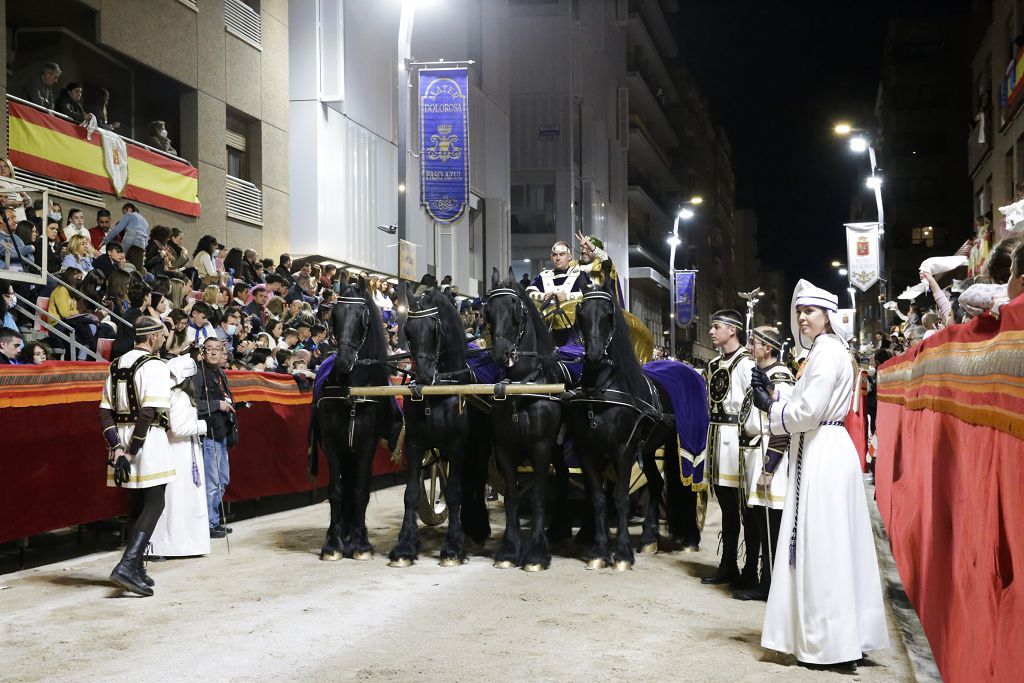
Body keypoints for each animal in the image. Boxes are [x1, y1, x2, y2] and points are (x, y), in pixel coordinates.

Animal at [309, 276, 393, 561]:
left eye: (362, 316)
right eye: (335, 314)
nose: (344, 361)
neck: (352, 392)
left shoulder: (367, 444)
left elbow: (360, 490)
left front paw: (360, 543)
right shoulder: (333, 443)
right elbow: (336, 490)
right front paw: (333, 544)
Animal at [387, 282, 491, 565]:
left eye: (435, 329)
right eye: (408, 331)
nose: (423, 375)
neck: (437, 394)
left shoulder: (457, 445)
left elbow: (454, 492)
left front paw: (453, 547)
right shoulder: (415, 444)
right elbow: (411, 493)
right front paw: (404, 545)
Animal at [481, 266, 573, 573]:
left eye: (515, 308)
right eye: (488, 310)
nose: (501, 354)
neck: (521, 388)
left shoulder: (541, 446)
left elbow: (538, 495)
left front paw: (535, 552)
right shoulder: (504, 448)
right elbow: (511, 494)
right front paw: (510, 548)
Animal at [569, 274, 671, 569]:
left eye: (608, 314)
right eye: (581, 313)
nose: (593, 355)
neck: (600, 391)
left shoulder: (623, 451)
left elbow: (622, 499)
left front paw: (623, 553)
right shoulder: (588, 452)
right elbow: (599, 500)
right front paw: (599, 551)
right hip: (647, 451)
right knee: (656, 484)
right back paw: (648, 538)